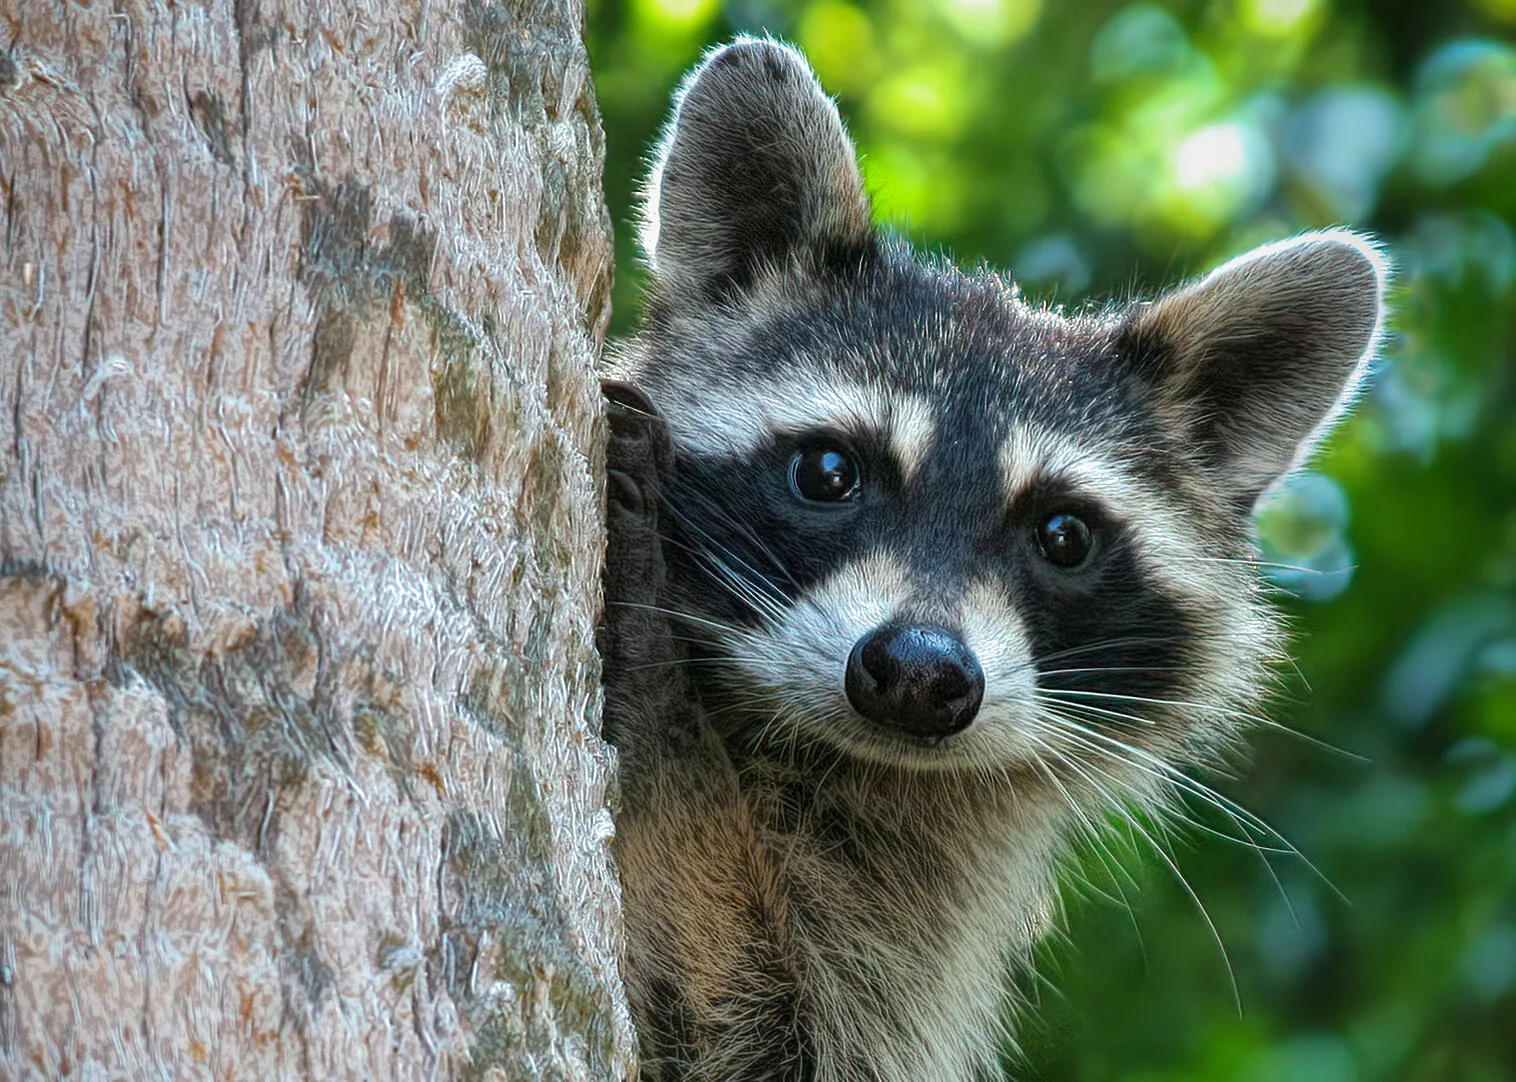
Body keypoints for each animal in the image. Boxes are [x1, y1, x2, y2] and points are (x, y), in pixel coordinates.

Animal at [598, 37, 1388, 1082]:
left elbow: (749, 1015)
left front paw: (662, 718)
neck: (828, 762)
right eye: (827, 472)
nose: (919, 672)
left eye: (1063, 536)